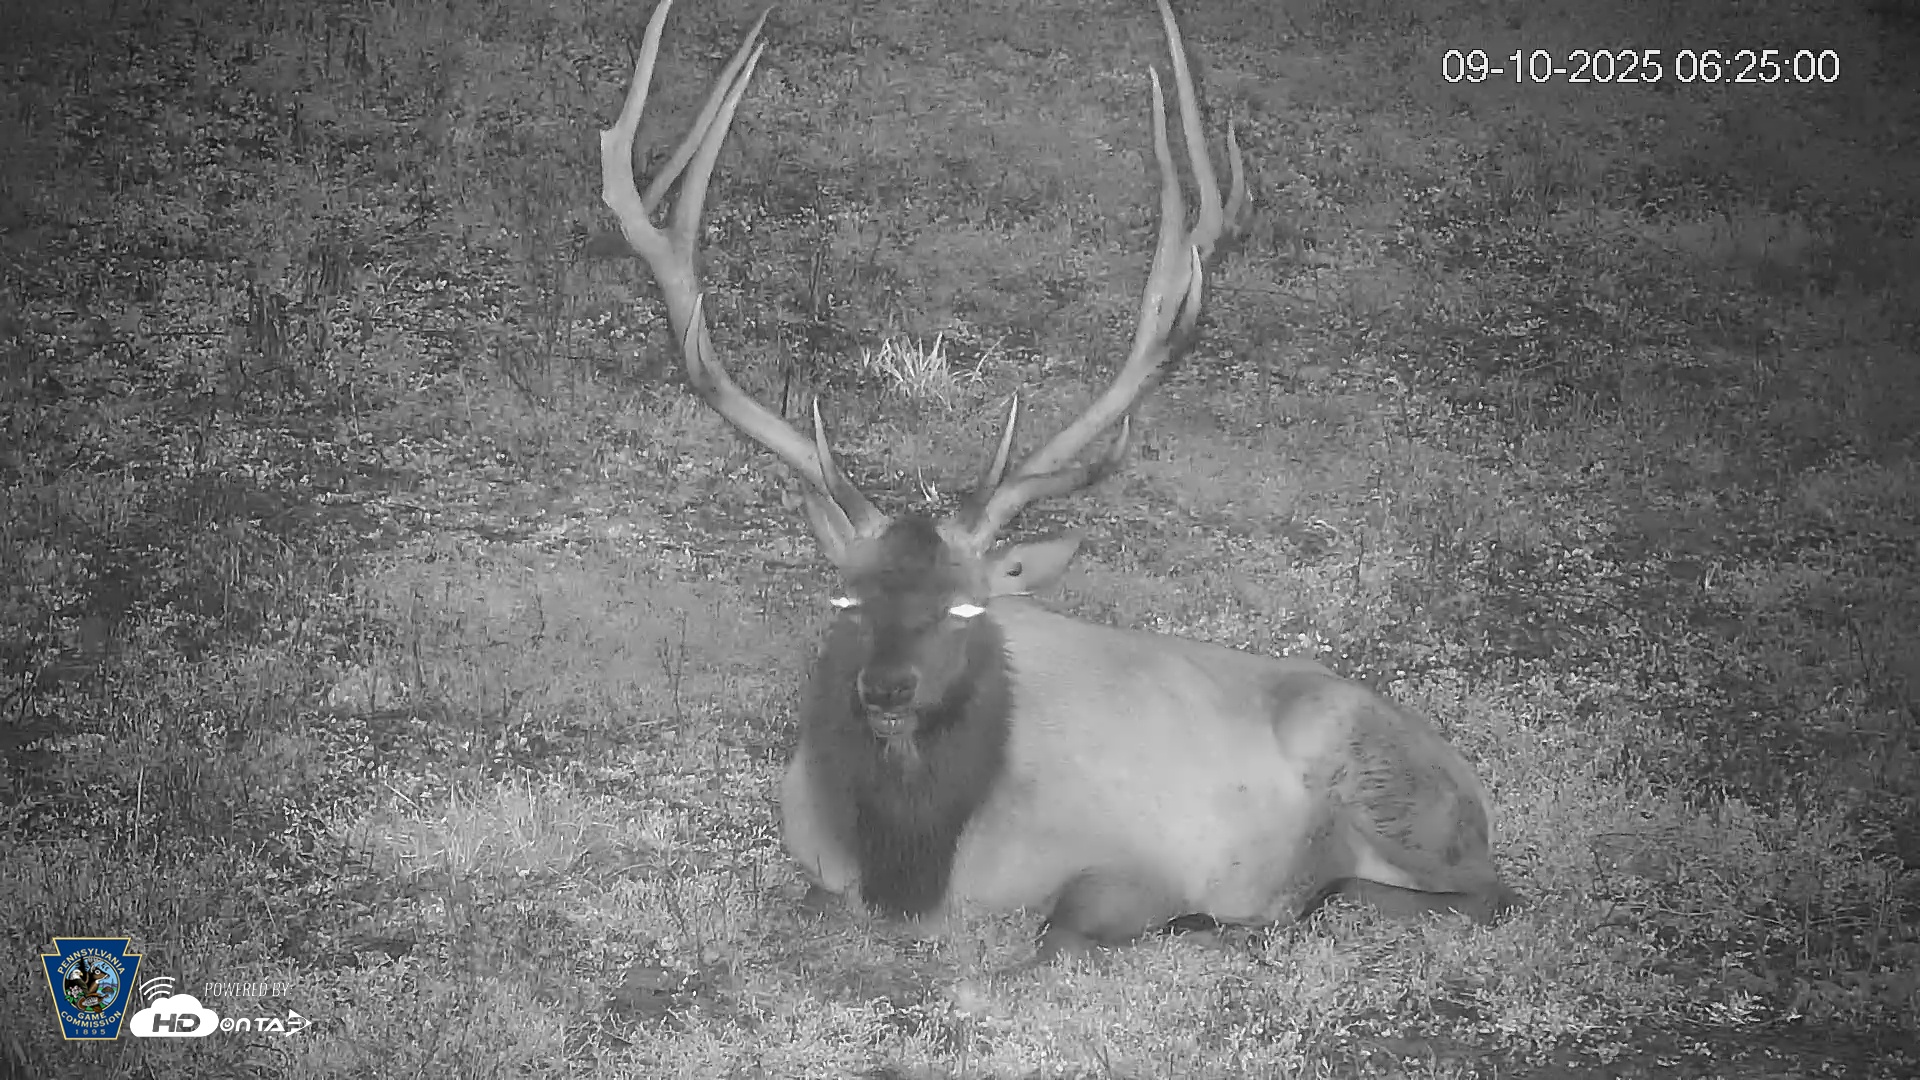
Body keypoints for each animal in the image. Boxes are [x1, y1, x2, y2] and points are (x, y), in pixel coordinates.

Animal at [595, 0, 1519, 962]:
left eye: (967, 607)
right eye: (846, 599)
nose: (885, 689)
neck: (915, 869)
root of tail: (1475, 792)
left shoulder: (1137, 861)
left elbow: (1066, 929)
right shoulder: (806, 846)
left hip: (1384, 785)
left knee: (1484, 893)